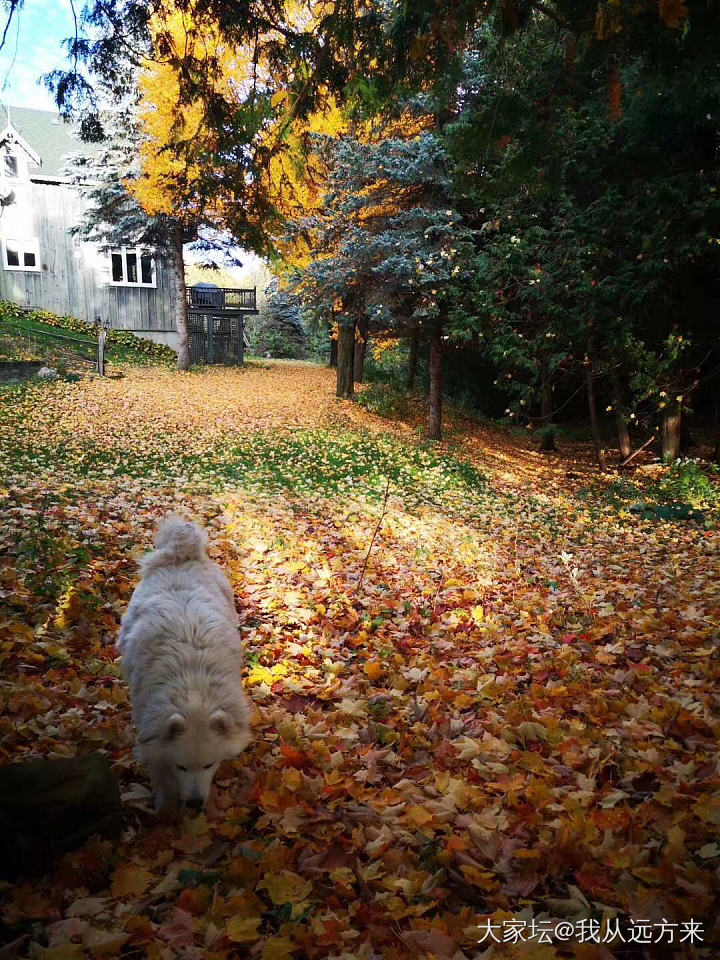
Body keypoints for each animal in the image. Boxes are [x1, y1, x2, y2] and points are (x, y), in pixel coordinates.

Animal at [118, 516, 250, 808]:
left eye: (209, 765)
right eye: (181, 767)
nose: (194, 803)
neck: (193, 686)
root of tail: (181, 555)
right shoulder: (151, 732)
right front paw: (165, 806)